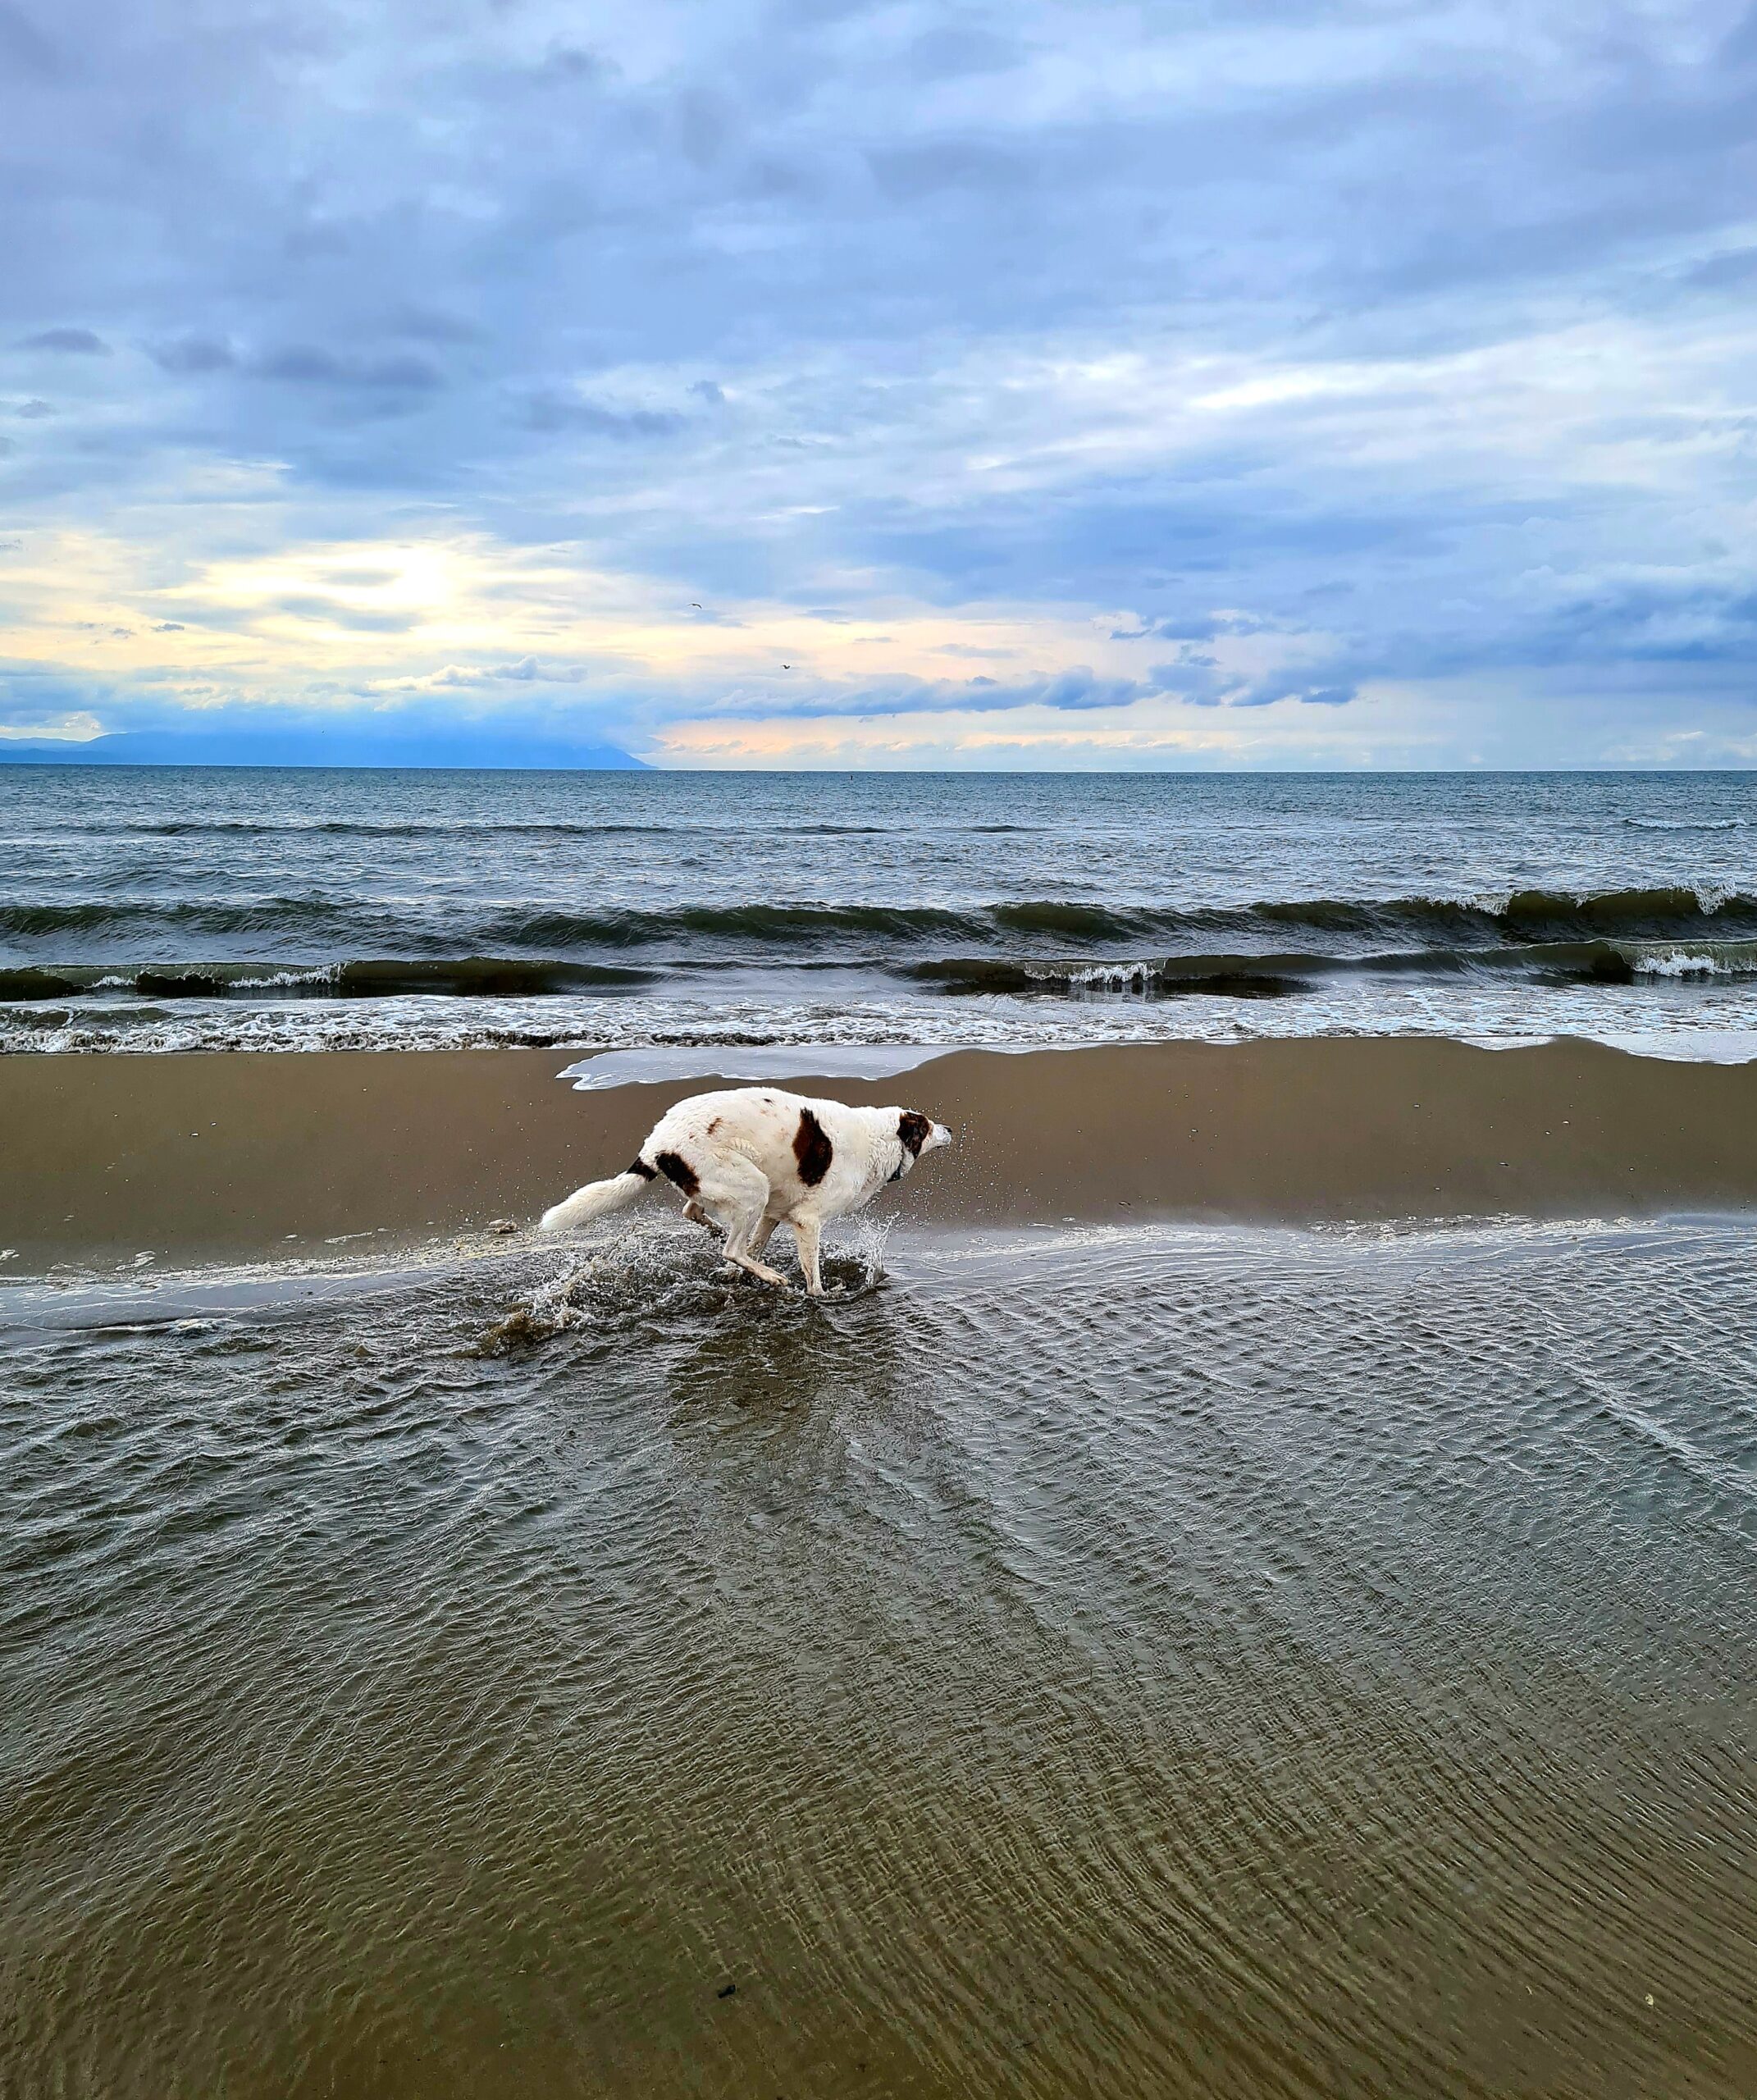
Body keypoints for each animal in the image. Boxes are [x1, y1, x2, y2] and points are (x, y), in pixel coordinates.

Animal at [539, 1086, 953, 1294]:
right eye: (928, 1127)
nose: (949, 1128)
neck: (880, 1139)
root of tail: (656, 1145)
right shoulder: (807, 1221)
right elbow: (812, 1278)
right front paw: (819, 1297)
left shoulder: (774, 1214)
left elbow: (756, 1246)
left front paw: (742, 1276)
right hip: (751, 1187)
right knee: (731, 1248)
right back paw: (770, 1276)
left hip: (741, 1191)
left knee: (698, 1215)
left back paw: (719, 1235)